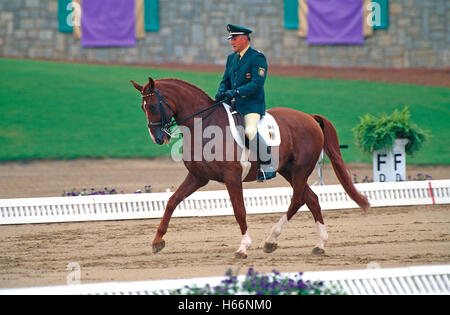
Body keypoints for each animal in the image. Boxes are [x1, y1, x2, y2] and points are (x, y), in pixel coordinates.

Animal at [130, 77, 370, 260]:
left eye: (153, 106)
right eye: (142, 107)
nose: (158, 138)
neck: (204, 126)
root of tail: (310, 118)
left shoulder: (232, 177)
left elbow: (239, 210)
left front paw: (243, 247)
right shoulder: (198, 177)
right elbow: (172, 201)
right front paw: (157, 241)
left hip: (300, 170)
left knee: (298, 199)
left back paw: (272, 240)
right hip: (288, 171)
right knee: (311, 199)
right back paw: (318, 245)